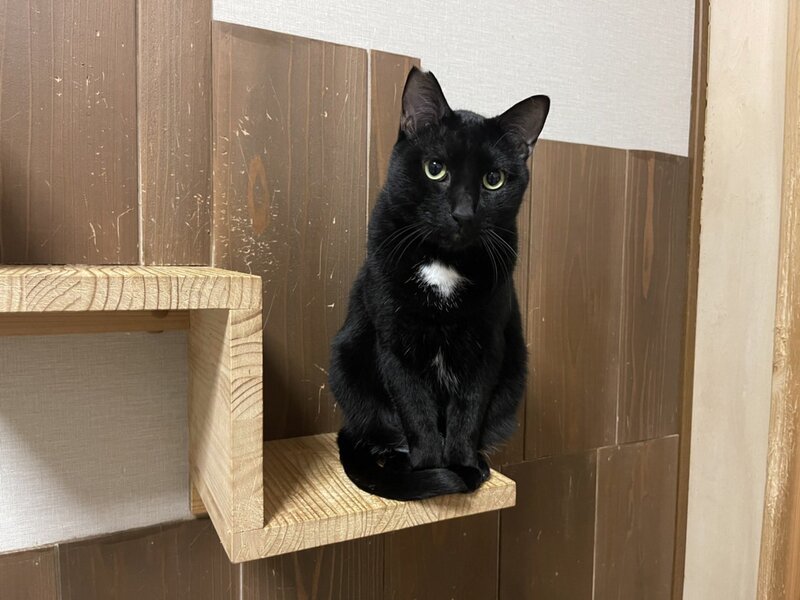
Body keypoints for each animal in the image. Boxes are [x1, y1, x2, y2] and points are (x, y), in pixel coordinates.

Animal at [329, 67, 549, 500]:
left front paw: (461, 466)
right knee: (381, 431)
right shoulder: (395, 345)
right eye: (436, 168)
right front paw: (432, 471)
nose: (463, 213)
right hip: (347, 363)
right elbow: (416, 411)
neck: (444, 263)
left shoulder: (486, 346)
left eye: (494, 179)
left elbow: (468, 410)